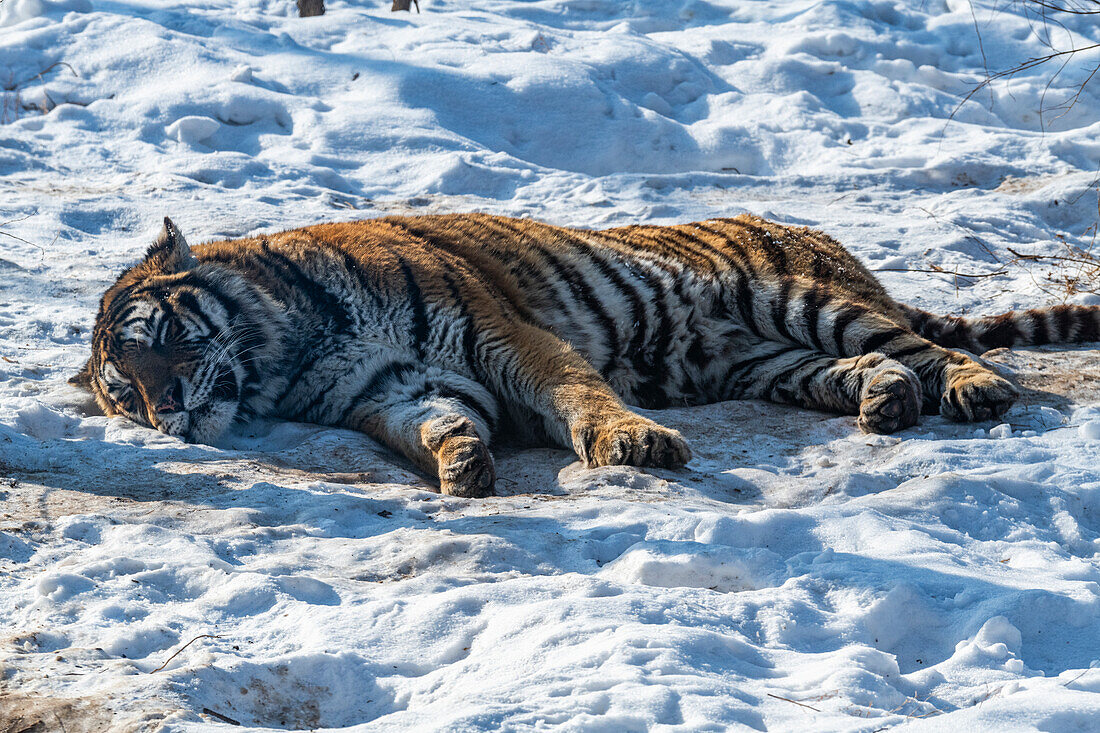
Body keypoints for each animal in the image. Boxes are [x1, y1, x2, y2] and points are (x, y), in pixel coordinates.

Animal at [73, 212, 1095, 497]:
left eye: (160, 346)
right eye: (124, 393)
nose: (169, 416)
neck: (288, 351)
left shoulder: (500, 332)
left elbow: (577, 394)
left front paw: (631, 444)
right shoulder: (396, 386)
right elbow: (435, 423)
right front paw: (462, 464)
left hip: (796, 299)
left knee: (920, 347)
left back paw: (973, 389)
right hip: (760, 360)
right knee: (868, 371)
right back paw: (885, 405)